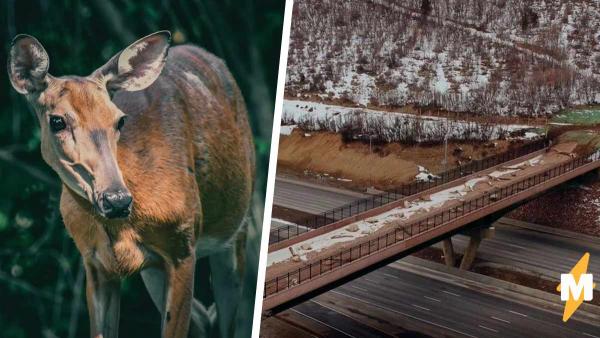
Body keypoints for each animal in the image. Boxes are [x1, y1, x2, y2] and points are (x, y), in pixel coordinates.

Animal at [7, 30, 255, 336]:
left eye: (119, 120)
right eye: (57, 121)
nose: (116, 199)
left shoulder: (184, 247)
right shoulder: (94, 262)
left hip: (235, 234)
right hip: (154, 271)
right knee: (202, 318)